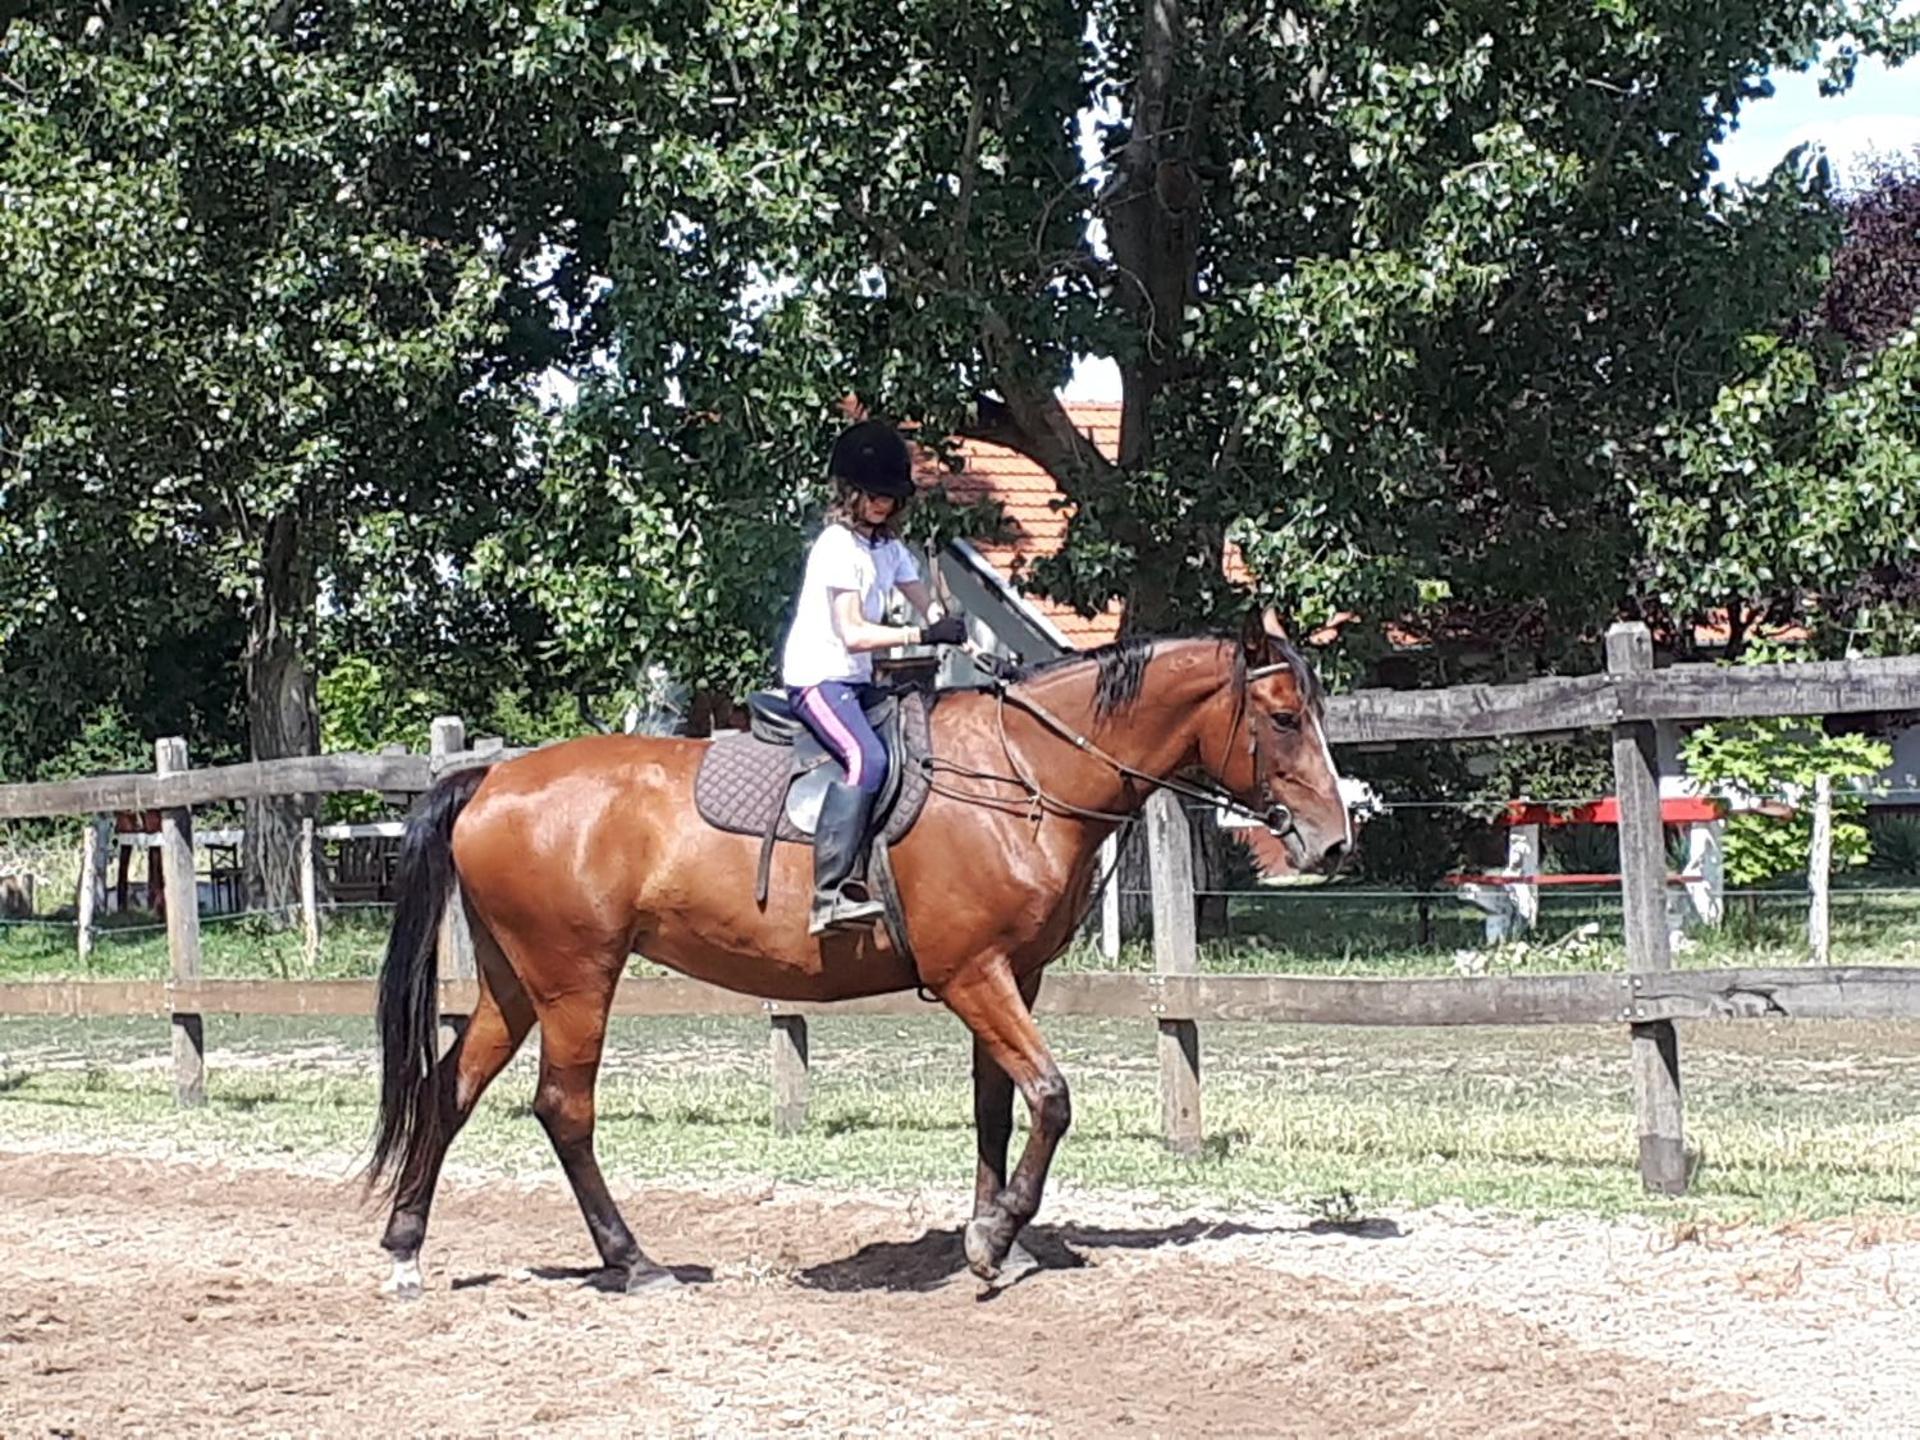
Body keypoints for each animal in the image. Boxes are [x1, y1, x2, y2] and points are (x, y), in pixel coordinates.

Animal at [366, 611, 1350, 1296]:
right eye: (1281, 717)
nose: (1334, 843)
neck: (1022, 775)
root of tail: (490, 778)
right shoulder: (972, 975)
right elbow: (1051, 1097)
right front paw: (996, 1237)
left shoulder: (1012, 975)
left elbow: (997, 1107)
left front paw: (991, 1235)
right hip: (576, 980)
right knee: (563, 1109)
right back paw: (634, 1260)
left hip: (516, 983)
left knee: (450, 1090)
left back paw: (406, 1249)